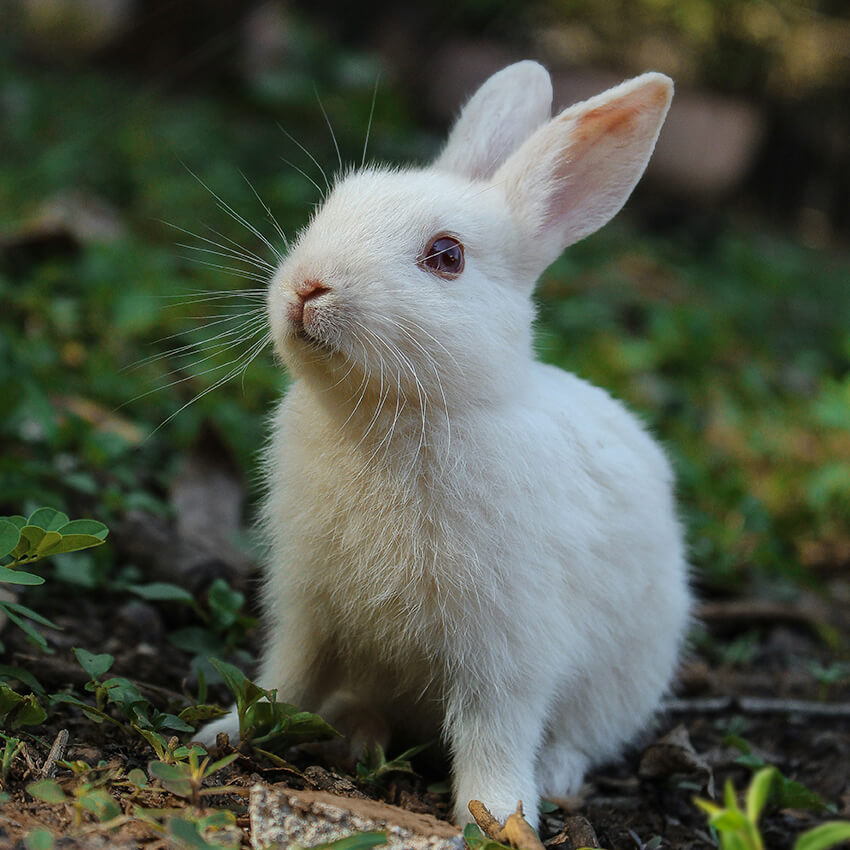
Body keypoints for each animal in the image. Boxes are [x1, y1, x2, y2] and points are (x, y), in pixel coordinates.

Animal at [198, 60, 692, 830]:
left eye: (447, 256)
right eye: (333, 205)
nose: (308, 287)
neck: (392, 415)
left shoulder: (506, 647)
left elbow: (495, 731)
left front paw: (497, 818)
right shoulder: (307, 608)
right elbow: (285, 678)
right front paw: (225, 732)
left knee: (581, 737)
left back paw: (553, 777)